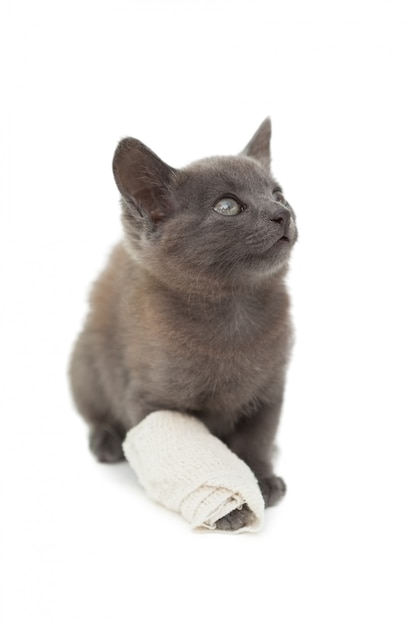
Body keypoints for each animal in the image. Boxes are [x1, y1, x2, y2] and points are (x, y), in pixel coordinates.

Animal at [69, 118, 296, 528]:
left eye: (278, 194)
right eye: (227, 206)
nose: (282, 214)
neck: (235, 317)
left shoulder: (271, 388)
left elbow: (257, 436)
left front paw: (261, 476)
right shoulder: (151, 401)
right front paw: (230, 505)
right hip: (84, 364)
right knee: (94, 412)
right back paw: (106, 441)